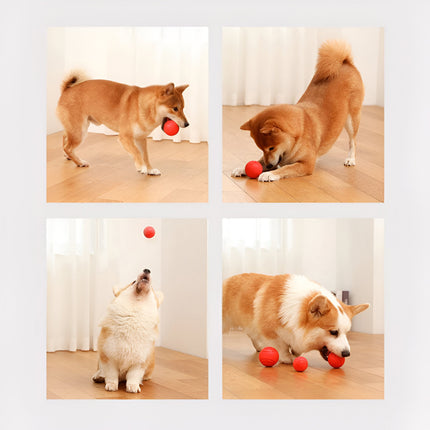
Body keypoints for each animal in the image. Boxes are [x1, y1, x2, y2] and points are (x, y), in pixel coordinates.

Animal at [56, 72, 189, 175]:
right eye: (175, 109)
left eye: (183, 108)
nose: (187, 124)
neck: (141, 106)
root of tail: (67, 90)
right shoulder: (125, 137)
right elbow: (136, 152)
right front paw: (141, 167)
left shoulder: (140, 139)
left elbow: (145, 155)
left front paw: (150, 169)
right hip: (80, 131)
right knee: (68, 147)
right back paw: (79, 162)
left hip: (76, 129)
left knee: (64, 138)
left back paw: (68, 156)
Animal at [222, 272, 370, 362]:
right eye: (334, 332)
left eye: (346, 333)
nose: (347, 354)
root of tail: (226, 280)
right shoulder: (269, 330)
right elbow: (280, 345)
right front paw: (287, 358)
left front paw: (294, 353)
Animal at [233, 39, 364, 181]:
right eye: (261, 149)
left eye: (271, 148)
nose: (268, 166)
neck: (299, 132)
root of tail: (345, 62)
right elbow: (259, 161)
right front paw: (243, 168)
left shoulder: (306, 164)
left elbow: (286, 168)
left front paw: (269, 174)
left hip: (351, 120)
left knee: (352, 141)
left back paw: (350, 159)